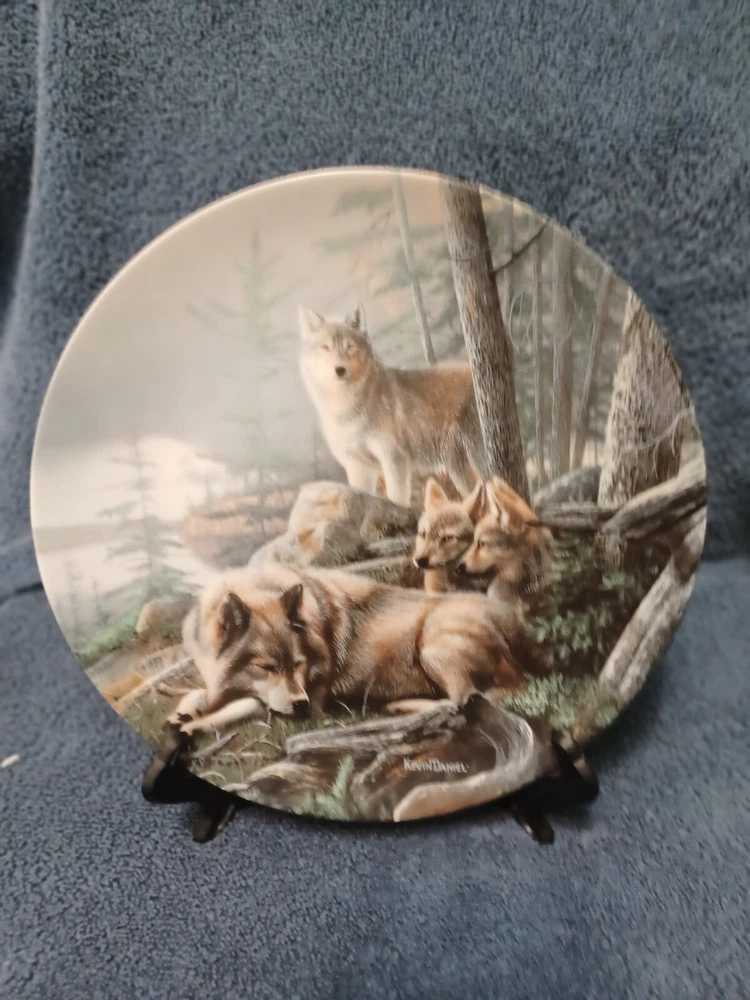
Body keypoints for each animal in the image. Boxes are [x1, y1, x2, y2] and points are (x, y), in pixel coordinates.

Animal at [168, 562, 526, 736]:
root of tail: (514, 625)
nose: (301, 706)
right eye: (266, 667)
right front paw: (184, 712)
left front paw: (191, 727)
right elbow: (202, 695)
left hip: (433, 648)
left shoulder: (284, 699)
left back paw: (401, 708)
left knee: (465, 701)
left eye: (298, 664)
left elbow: (235, 709)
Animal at [298, 304, 485, 506]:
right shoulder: (359, 466)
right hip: (457, 471)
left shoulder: (394, 458)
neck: (347, 409)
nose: (340, 370)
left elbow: (396, 499)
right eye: (325, 348)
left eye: (350, 347)